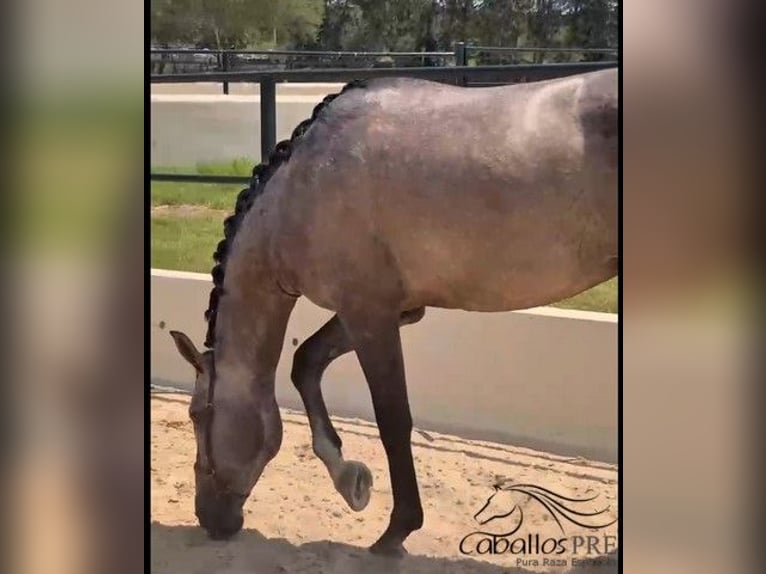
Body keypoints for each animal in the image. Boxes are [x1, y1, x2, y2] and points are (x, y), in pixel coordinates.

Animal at [169, 67, 618, 556]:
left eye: (197, 415)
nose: (208, 517)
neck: (302, 189)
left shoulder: (370, 316)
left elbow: (392, 419)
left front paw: (395, 530)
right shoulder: (388, 309)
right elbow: (305, 362)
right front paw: (350, 481)